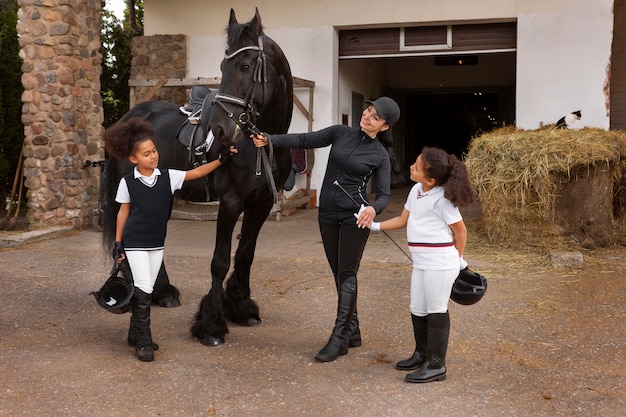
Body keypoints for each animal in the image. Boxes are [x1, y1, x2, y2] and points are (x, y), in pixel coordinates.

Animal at [103, 8, 294, 344]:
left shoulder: (261, 203)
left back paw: (163, 292)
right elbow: (220, 260)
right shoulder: (230, 202)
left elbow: (245, 254)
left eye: (245, 66)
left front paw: (242, 307)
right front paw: (211, 324)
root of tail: (127, 119)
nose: (219, 128)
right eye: (222, 67)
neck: (257, 142)